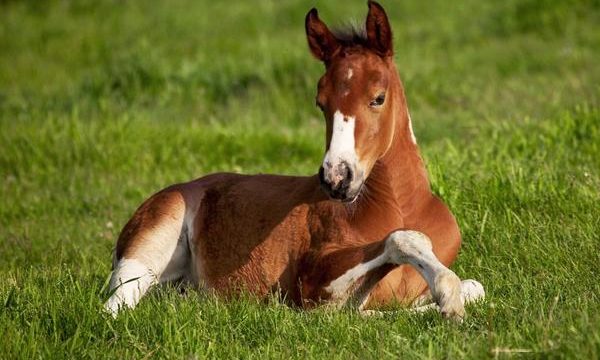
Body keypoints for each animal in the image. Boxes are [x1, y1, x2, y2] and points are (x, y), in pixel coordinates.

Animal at [105, 1, 486, 320]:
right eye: (321, 103)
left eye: (378, 98)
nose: (337, 178)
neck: (401, 206)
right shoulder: (313, 281)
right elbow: (399, 244)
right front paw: (447, 298)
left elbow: (475, 287)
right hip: (148, 246)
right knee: (115, 307)